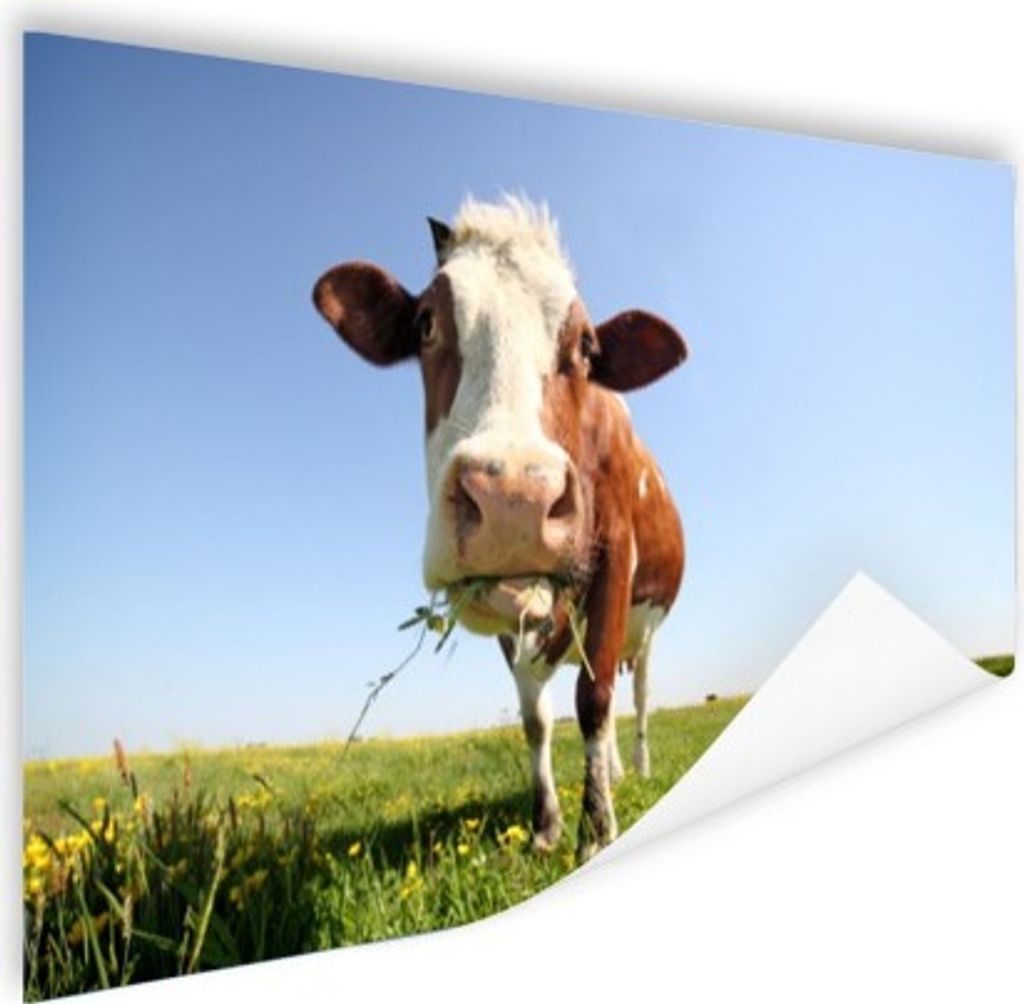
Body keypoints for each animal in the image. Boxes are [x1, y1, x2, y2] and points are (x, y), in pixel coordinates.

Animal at [313, 197, 686, 862]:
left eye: (586, 346)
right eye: (425, 324)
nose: (514, 498)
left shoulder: (615, 555)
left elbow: (592, 700)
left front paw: (596, 833)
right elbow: (535, 717)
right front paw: (547, 827)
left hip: (647, 630)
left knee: (636, 695)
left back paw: (637, 771)